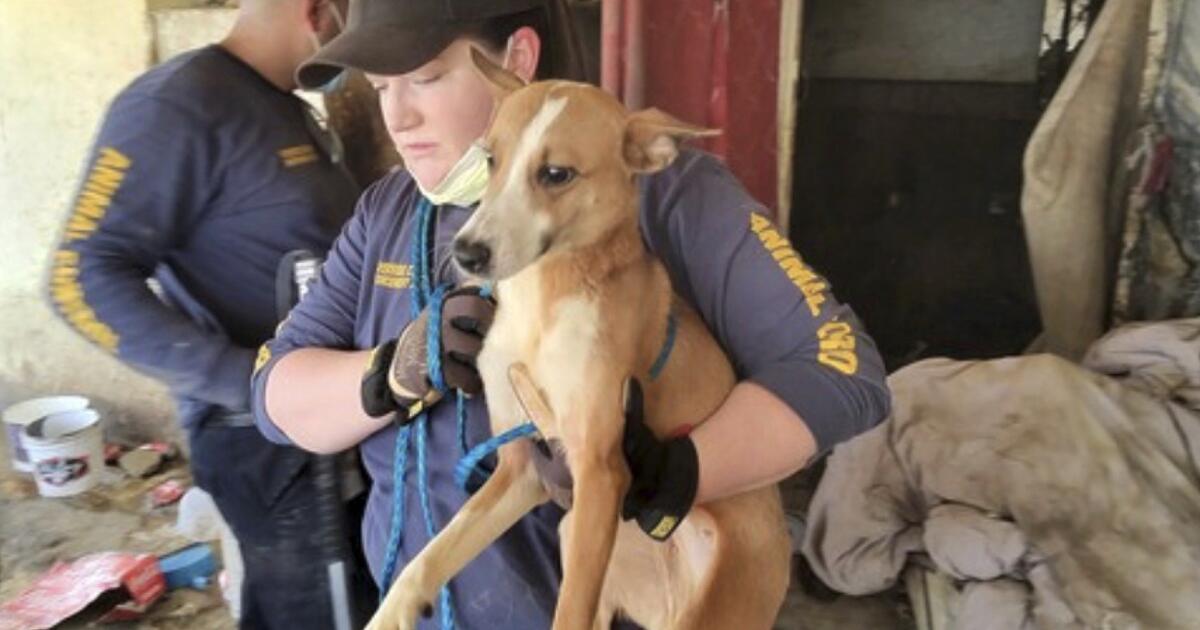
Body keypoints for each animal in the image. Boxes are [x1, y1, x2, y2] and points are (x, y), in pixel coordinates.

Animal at [369, 50, 792, 628]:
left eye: (556, 174)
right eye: (490, 160)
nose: (466, 253)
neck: (542, 302)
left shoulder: (599, 470)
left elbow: (564, 612)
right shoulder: (523, 469)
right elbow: (432, 554)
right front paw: (392, 610)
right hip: (577, 538)